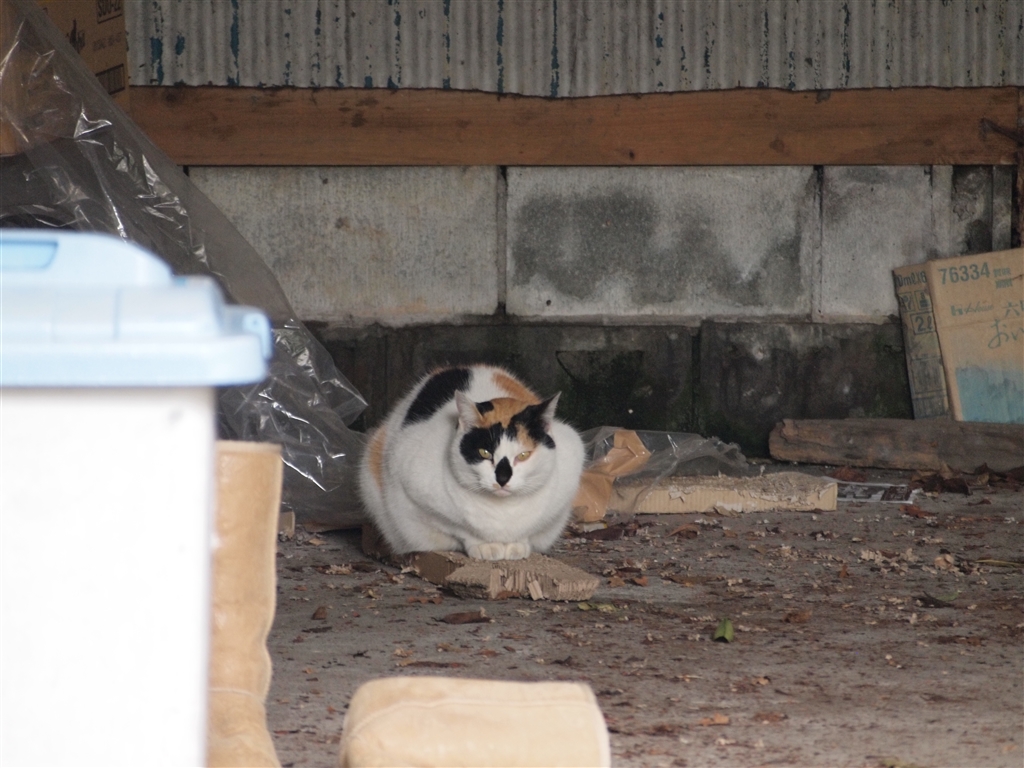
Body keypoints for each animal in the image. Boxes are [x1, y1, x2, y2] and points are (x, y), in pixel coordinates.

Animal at [359, 365, 585, 561]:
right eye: (484, 452)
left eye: (523, 455)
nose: (502, 478)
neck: (502, 513)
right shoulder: (412, 486)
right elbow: (459, 527)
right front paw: (485, 546)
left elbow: (530, 529)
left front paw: (517, 545)